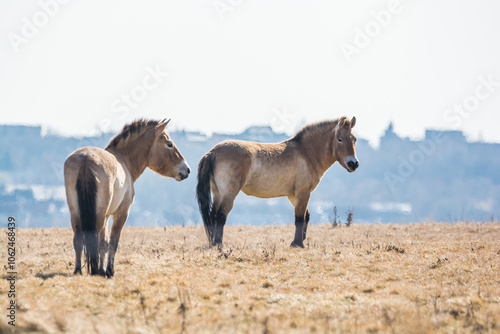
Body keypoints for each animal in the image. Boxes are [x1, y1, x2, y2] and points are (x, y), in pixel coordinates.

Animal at [65, 118, 190, 276]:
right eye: (169, 144)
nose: (187, 169)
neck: (123, 159)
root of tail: (85, 159)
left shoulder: (107, 215)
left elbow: (104, 243)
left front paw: (102, 270)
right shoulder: (121, 214)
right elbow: (113, 242)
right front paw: (108, 270)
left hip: (76, 212)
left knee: (78, 239)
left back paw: (78, 270)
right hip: (98, 214)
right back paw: (93, 270)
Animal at [196, 116, 360, 247]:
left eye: (354, 139)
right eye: (339, 138)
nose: (353, 164)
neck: (307, 153)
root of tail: (213, 152)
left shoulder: (293, 195)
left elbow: (305, 216)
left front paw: (298, 241)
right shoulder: (303, 193)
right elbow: (299, 218)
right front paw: (298, 244)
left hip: (217, 193)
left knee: (213, 215)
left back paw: (212, 242)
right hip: (229, 194)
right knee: (221, 215)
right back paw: (218, 244)